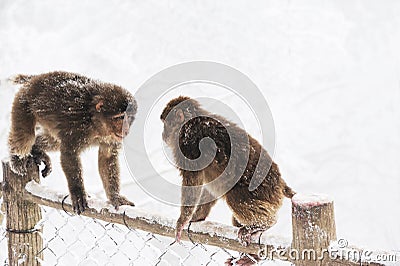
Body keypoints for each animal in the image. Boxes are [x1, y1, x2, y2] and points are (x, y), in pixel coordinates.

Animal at [8, 71, 137, 214]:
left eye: (129, 117)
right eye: (120, 117)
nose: (126, 129)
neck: (95, 121)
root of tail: (35, 78)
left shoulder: (111, 138)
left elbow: (107, 158)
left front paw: (115, 197)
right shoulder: (77, 127)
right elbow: (69, 154)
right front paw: (78, 193)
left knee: (54, 142)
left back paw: (36, 149)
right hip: (23, 103)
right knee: (27, 136)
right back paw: (17, 159)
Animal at [161, 95, 296, 258]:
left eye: (166, 124)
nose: (163, 134)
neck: (190, 122)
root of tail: (281, 184)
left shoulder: (187, 145)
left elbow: (193, 182)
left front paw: (182, 221)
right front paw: (197, 217)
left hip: (265, 193)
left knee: (235, 197)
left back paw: (263, 224)